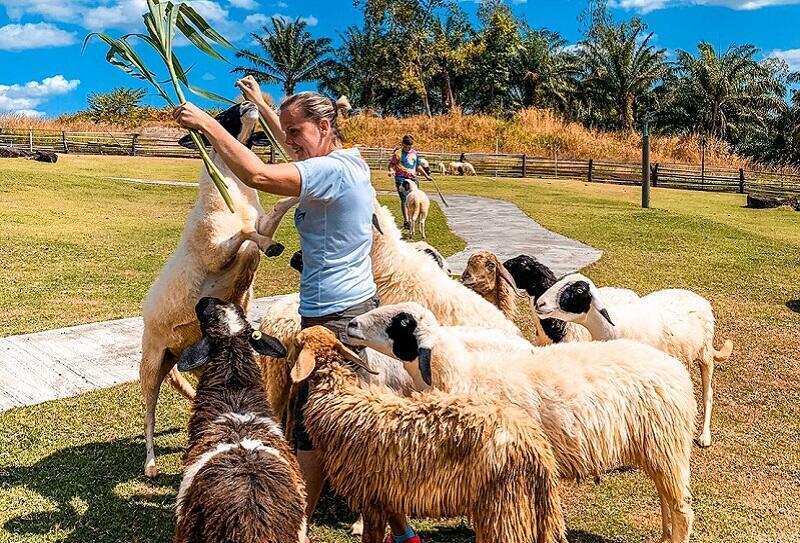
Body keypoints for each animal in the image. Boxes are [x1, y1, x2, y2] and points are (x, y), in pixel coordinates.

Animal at [141, 100, 297, 477]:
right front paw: (269, 246)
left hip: (194, 363)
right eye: (223, 116)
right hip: (150, 365)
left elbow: (271, 217)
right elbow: (246, 238)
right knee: (148, 414)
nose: (248, 103)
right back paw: (151, 464)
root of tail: (172, 354)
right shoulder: (216, 251)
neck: (233, 192)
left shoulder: (258, 222)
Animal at [290, 325, 567, 543]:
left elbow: (371, 536)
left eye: (298, 341)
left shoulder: (370, 495)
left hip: (505, 503)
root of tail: (536, 446)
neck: (339, 394)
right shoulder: (386, 491)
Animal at [346, 302, 698, 543]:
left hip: (666, 444)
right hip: (656, 448)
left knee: (681, 507)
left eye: (401, 323)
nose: (350, 324)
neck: (465, 374)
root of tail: (677, 371)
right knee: (667, 502)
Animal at [534, 273, 734, 448]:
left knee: (708, 393)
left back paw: (705, 436)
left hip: (705, 353)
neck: (613, 327)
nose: (539, 303)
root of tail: (697, 297)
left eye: (578, 290)